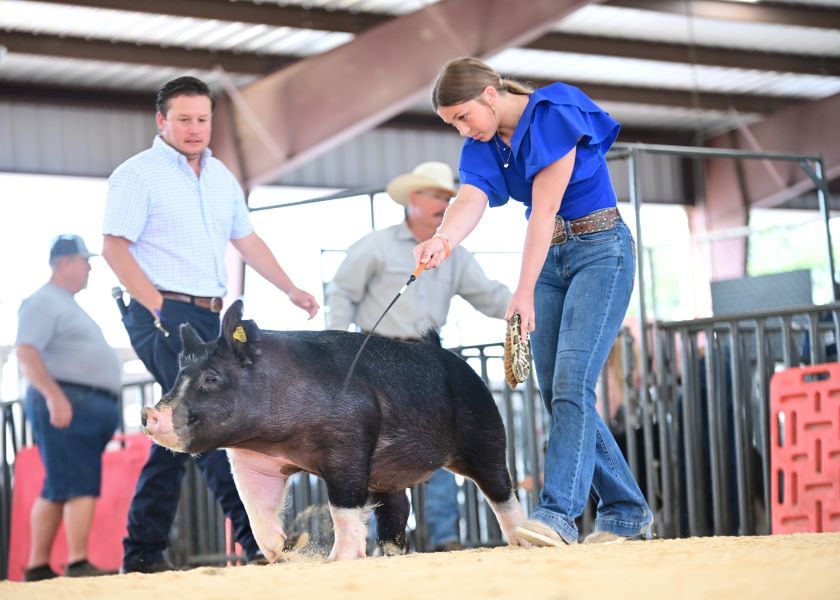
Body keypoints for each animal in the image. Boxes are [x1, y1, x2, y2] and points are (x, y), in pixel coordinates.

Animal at [142, 302, 528, 560]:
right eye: (178, 376)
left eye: (211, 378)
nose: (148, 414)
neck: (276, 439)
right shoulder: (252, 458)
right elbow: (255, 509)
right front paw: (283, 549)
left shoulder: (349, 442)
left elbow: (343, 506)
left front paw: (335, 559)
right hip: (388, 470)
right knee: (398, 506)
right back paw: (390, 554)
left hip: (485, 431)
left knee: (501, 489)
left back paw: (526, 539)